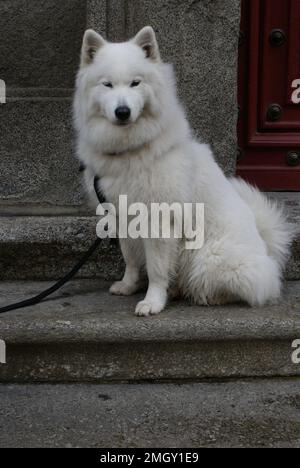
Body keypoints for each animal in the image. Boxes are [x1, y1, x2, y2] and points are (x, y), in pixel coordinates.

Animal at [74, 26, 292, 318]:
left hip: (207, 257)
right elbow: (130, 257)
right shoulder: (122, 215)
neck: (131, 150)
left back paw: (206, 296)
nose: (122, 111)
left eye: (135, 83)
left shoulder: (158, 220)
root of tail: (267, 252)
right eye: (107, 84)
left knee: (239, 286)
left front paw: (152, 302)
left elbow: (156, 269)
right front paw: (128, 285)